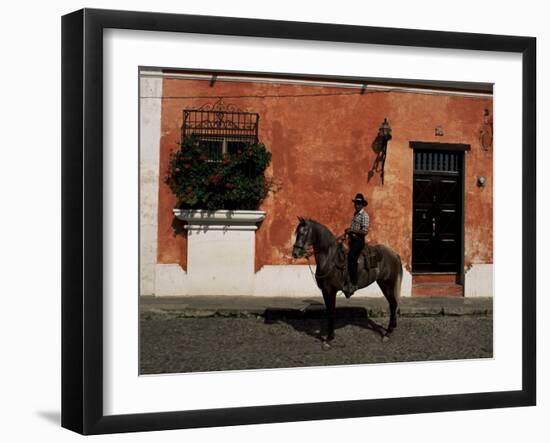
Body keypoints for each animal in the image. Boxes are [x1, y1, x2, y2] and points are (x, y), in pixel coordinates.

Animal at [294, 218, 406, 346]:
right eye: (296, 233)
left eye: (303, 233)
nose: (295, 253)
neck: (330, 259)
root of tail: (394, 254)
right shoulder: (325, 291)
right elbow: (329, 312)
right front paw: (330, 337)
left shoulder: (330, 290)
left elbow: (331, 312)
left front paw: (329, 339)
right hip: (383, 284)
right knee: (393, 304)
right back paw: (391, 328)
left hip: (388, 284)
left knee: (393, 304)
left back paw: (388, 333)